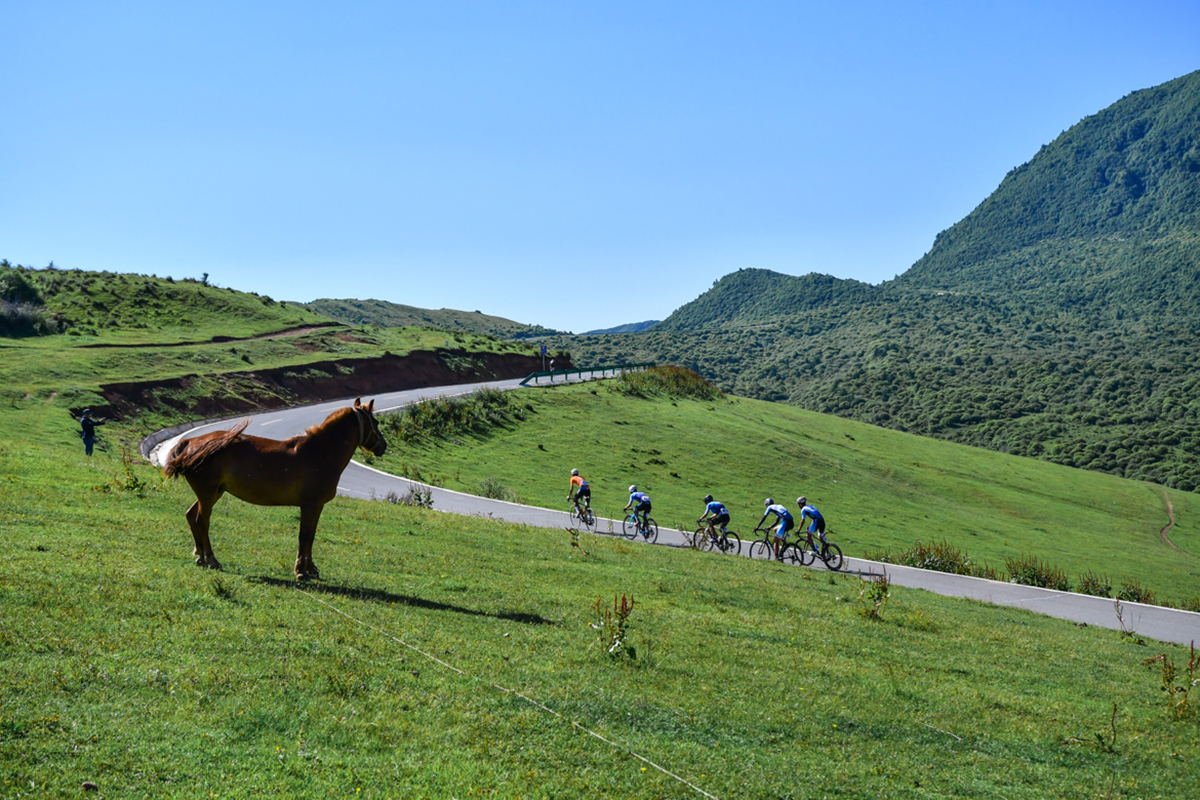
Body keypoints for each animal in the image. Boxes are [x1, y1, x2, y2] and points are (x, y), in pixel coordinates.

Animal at [163, 398, 388, 578]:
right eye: (376, 422)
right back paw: (211, 559)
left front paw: (311, 569)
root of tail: (191, 442)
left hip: (212, 494)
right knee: (202, 521)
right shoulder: (309, 505)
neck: (320, 452)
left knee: (191, 516)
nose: (383, 446)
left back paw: (200, 556)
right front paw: (301, 571)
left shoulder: (317, 506)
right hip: (208, 495)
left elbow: (311, 536)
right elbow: (304, 535)